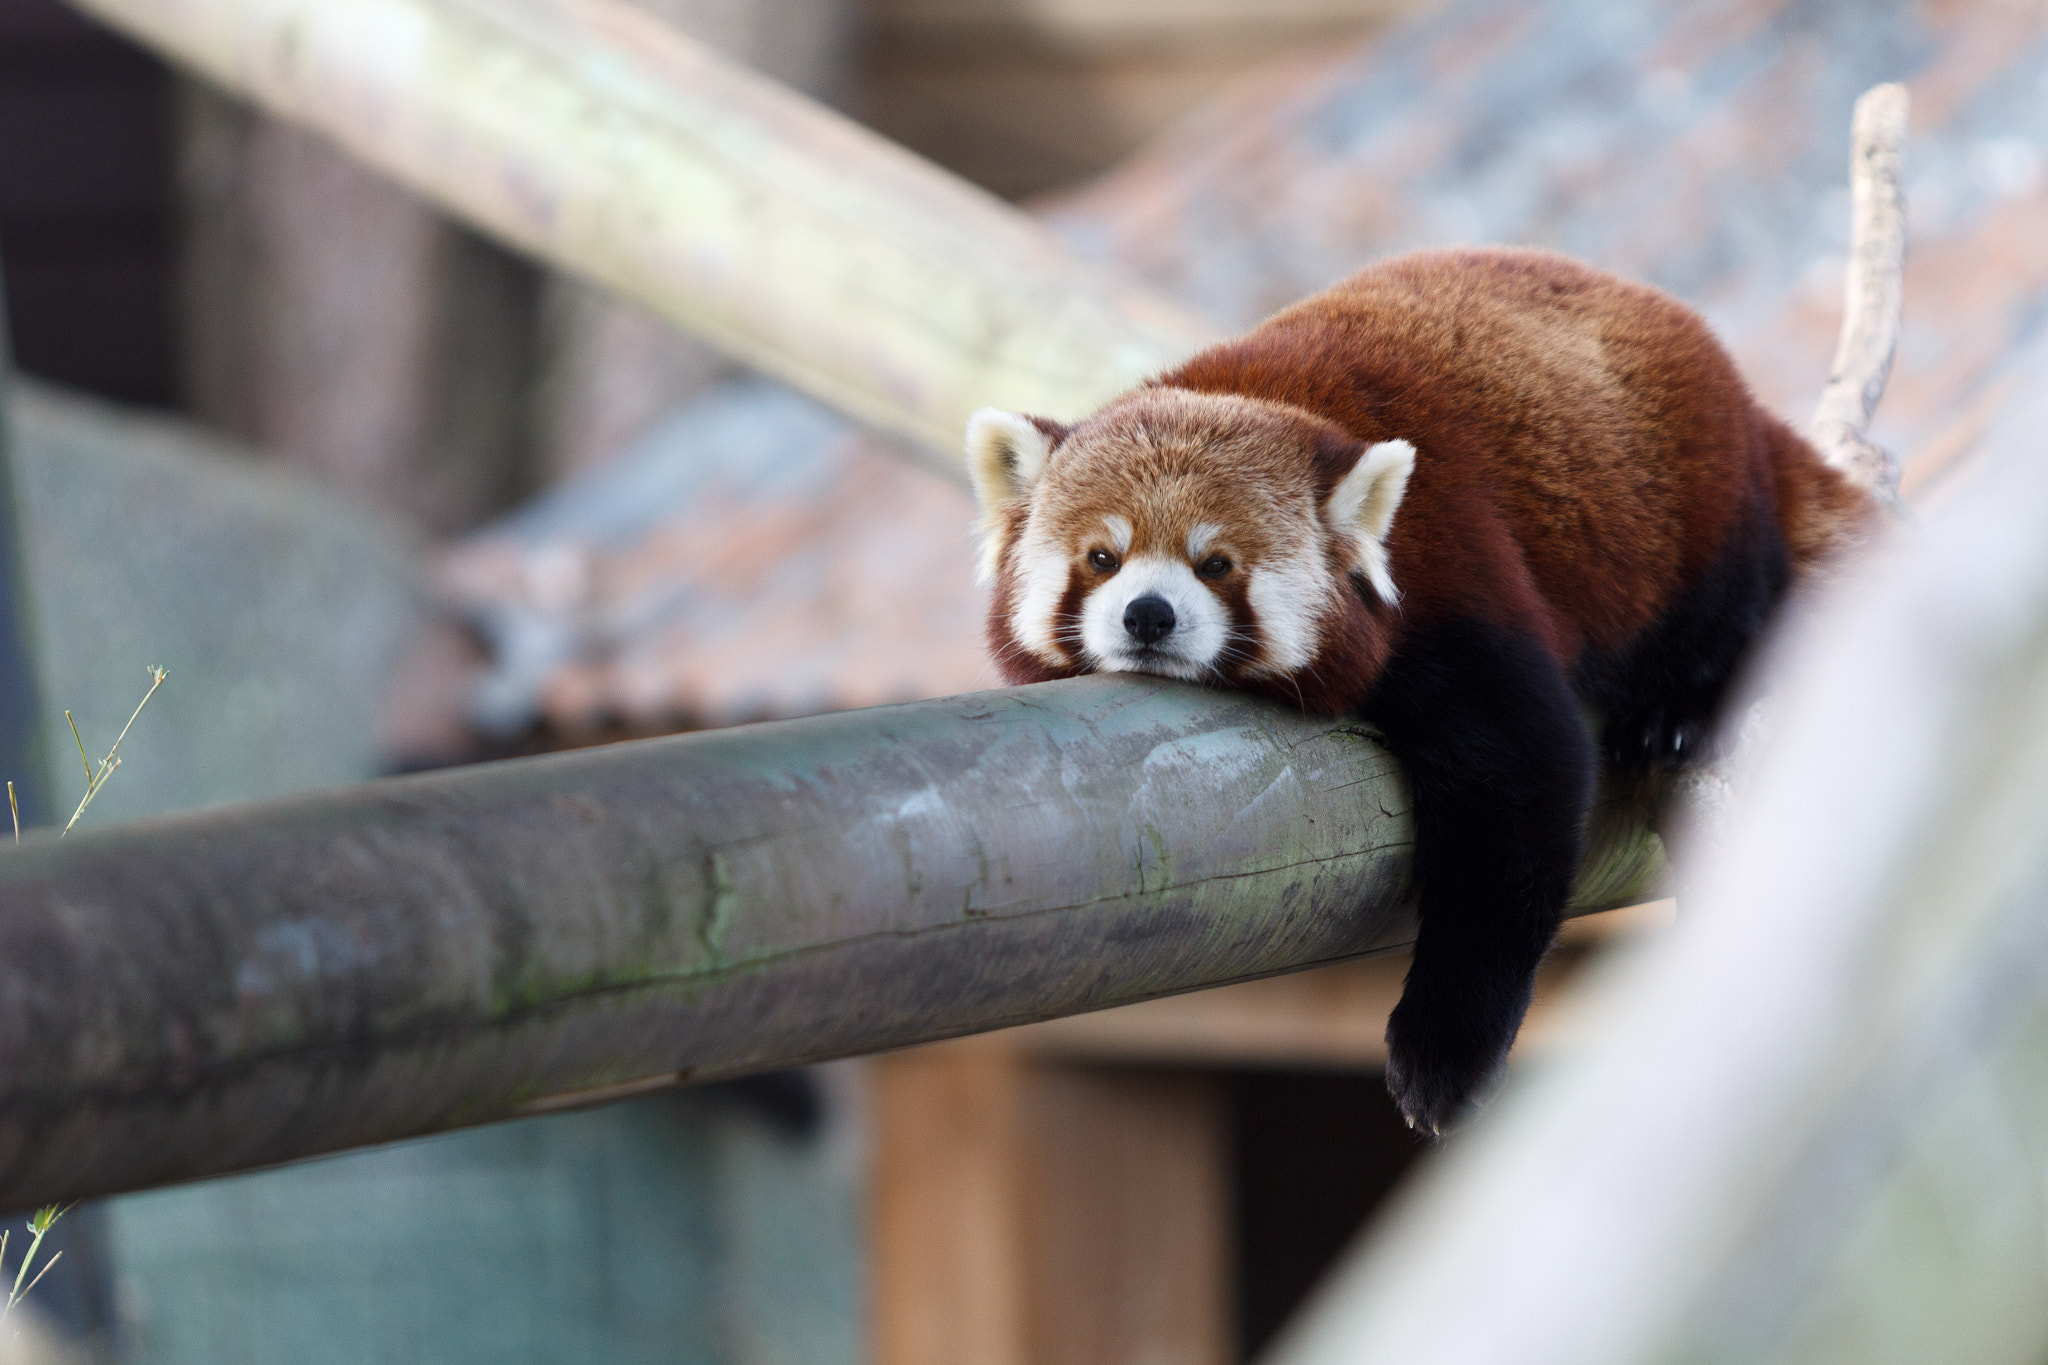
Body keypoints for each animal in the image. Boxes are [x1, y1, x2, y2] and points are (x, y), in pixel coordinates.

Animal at [965, 246, 1877, 1135]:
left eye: (1215, 564)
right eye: (1103, 557)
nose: (1148, 615)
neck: (1270, 395)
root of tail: (1729, 381)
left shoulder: (1450, 580)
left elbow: (1521, 786)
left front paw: (1443, 1056)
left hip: (1683, 504)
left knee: (1731, 603)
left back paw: (1680, 711)